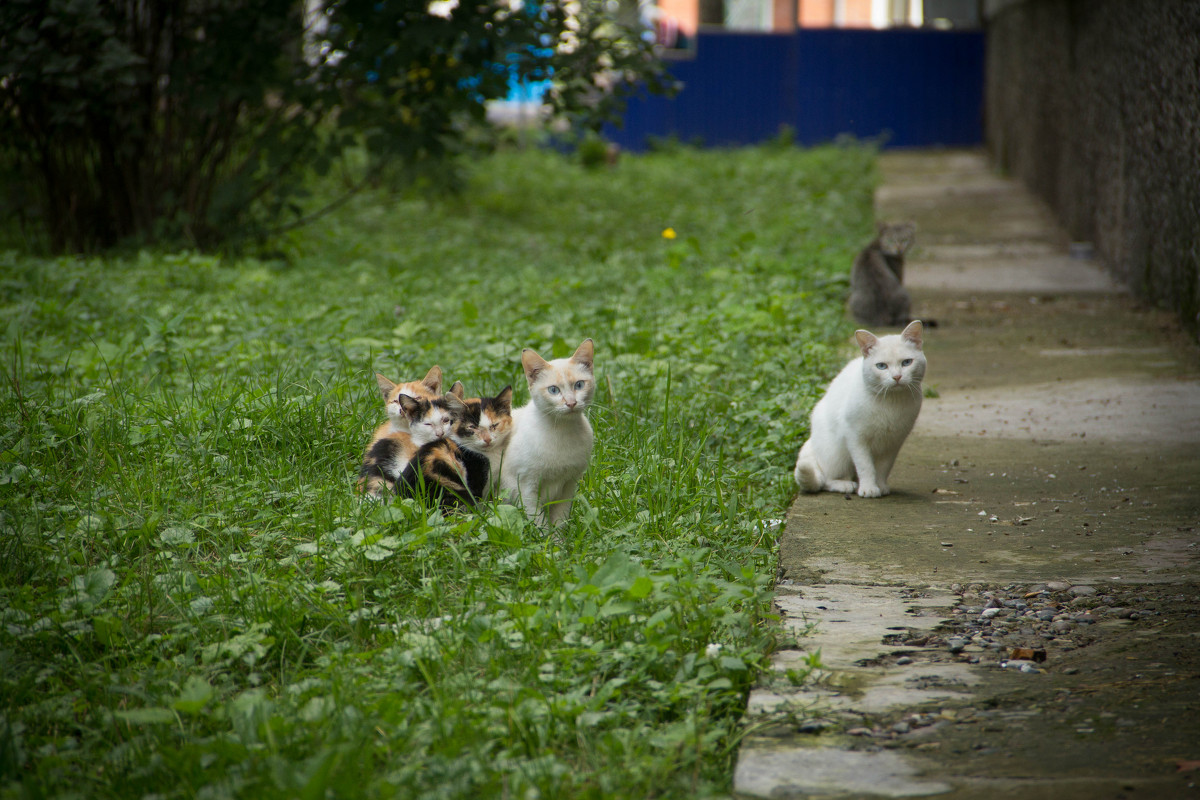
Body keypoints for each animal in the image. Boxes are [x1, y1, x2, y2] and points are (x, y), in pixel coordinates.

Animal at [496, 338, 595, 525]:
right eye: (553, 390)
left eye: (579, 385)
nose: (571, 403)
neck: (562, 431)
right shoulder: (524, 488)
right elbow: (538, 522)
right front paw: (543, 533)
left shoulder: (568, 486)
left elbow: (560, 522)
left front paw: (561, 534)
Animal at [796, 321, 926, 496]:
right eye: (881, 366)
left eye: (906, 362)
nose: (897, 377)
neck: (890, 402)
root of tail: (811, 440)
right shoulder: (856, 438)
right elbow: (865, 466)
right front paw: (869, 488)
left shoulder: (893, 442)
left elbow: (883, 468)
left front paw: (880, 486)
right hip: (837, 453)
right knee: (825, 479)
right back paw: (846, 485)